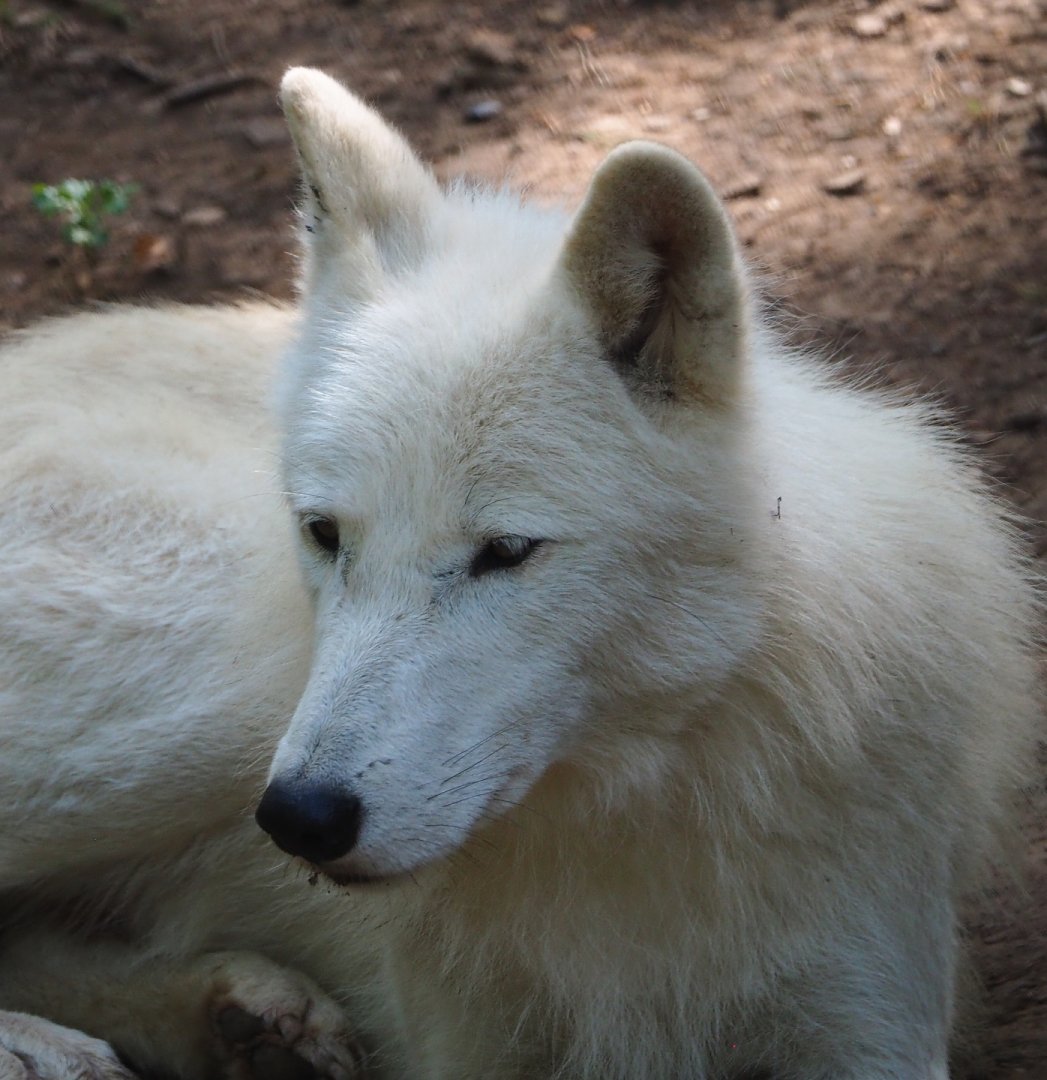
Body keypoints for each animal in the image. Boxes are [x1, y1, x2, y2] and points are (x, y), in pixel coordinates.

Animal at [0, 68, 1040, 1080]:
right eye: (325, 534)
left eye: (504, 552)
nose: (300, 819)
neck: (636, 808)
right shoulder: (465, 1041)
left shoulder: (870, 1010)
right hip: (215, 695)